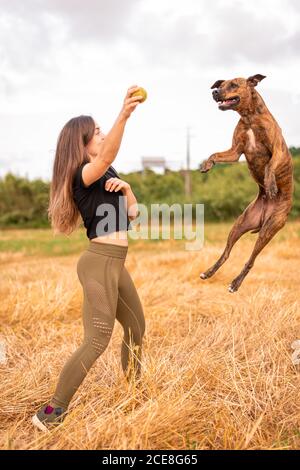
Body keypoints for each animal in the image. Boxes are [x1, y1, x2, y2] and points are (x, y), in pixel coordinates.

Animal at [199, 74, 292, 292]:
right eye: (221, 85)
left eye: (233, 85)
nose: (215, 92)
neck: (249, 118)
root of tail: (265, 214)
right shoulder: (235, 151)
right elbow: (215, 154)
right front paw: (207, 164)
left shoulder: (278, 150)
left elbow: (269, 166)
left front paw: (271, 184)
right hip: (240, 225)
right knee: (226, 253)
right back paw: (209, 272)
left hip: (269, 229)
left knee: (251, 259)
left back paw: (235, 283)